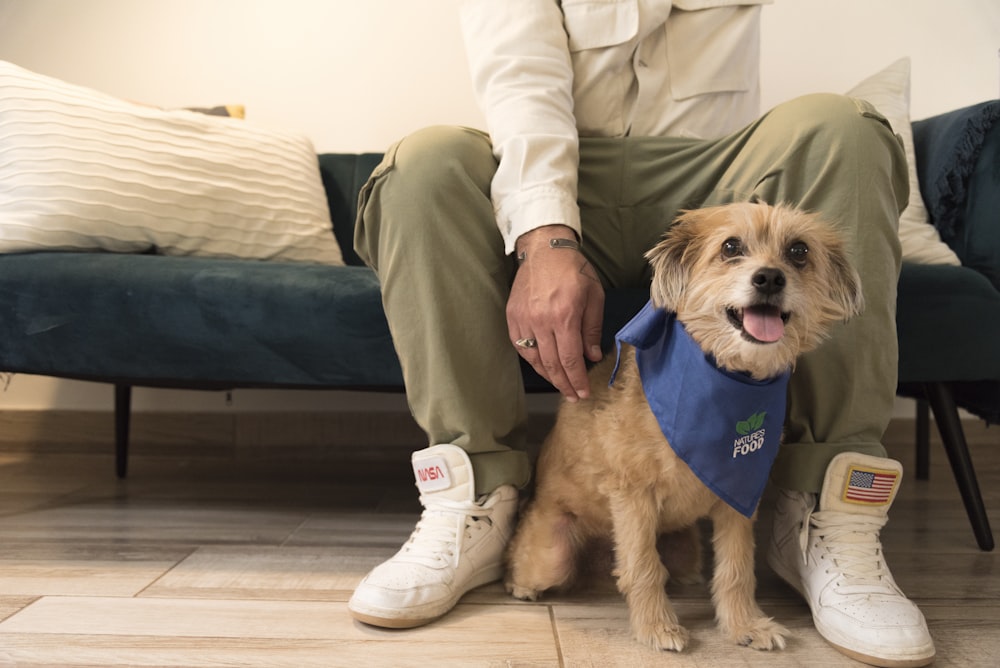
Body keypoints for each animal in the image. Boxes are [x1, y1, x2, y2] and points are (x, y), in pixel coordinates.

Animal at [504, 202, 864, 652]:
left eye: (799, 251)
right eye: (730, 247)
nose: (769, 277)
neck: (727, 380)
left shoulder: (738, 495)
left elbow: (736, 569)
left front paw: (745, 625)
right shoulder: (633, 495)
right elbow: (643, 567)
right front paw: (657, 627)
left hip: (685, 546)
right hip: (553, 552)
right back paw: (522, 586)